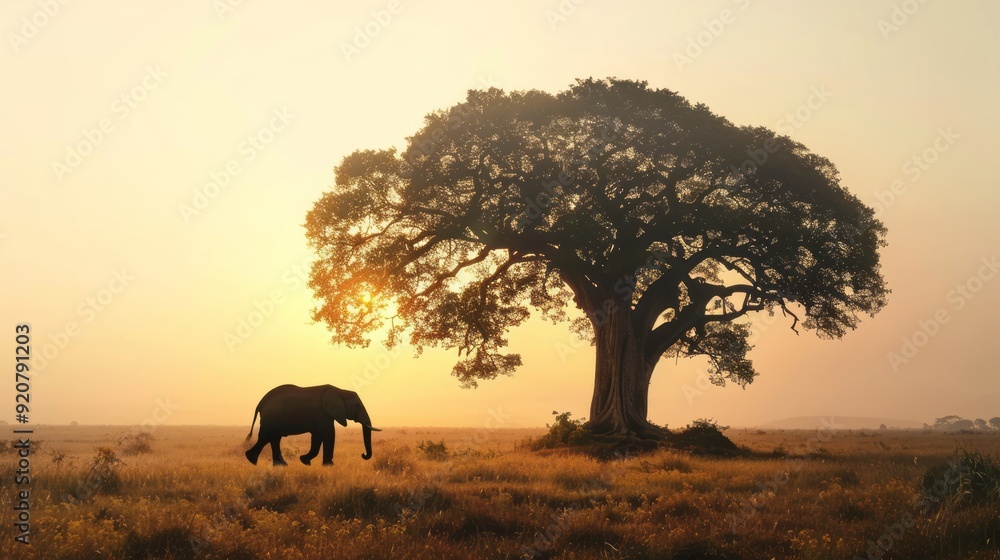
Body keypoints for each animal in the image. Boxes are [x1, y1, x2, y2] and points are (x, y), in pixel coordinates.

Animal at [245, 384, 380, 466]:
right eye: (357, 406)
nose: (363, 455)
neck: (340, 390)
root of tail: (261, 402)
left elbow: (323, 436)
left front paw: (314, 463)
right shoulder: (322, 414)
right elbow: (325, 435)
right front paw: (321, 464)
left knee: (273, 438)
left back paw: (279, 465)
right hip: (271, 417)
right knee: (267, 437)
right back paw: (253, 460)